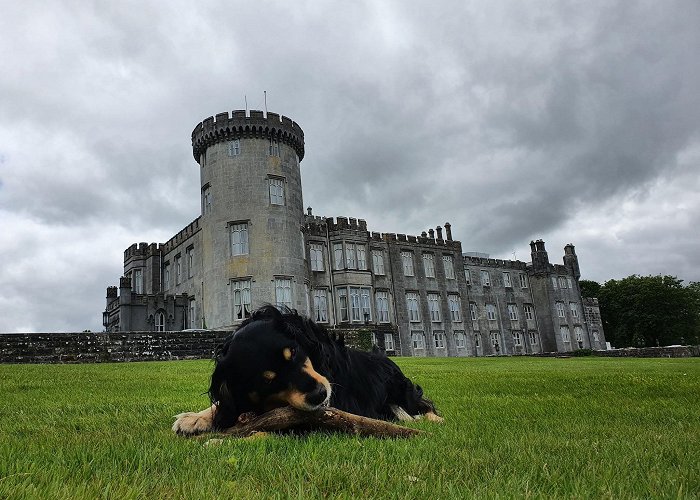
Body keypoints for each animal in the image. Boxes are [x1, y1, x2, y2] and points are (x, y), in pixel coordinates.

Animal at [172, 304, 440, 434]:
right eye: (267, 380)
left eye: (293, 352)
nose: (320, 395)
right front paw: (195, 418)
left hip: (402, 389)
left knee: (423, 405)